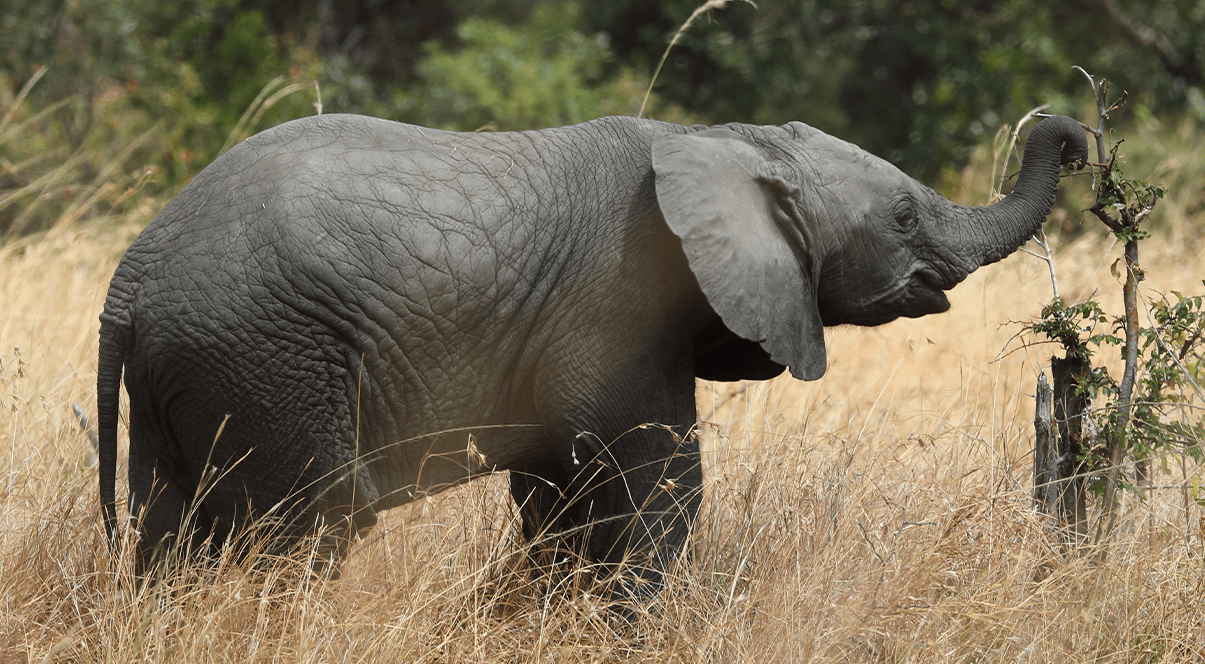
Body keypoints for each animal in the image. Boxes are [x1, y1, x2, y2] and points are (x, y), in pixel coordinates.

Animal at [96, 111, 1094, 595]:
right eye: (900, 216)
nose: (1073, 135)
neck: (722, 140)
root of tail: (130, 280)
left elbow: (557, 498)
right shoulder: (619, 306)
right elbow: (658, 487)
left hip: (193, 372)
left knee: (166, 532)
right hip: (268, 357)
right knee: (308, 526)